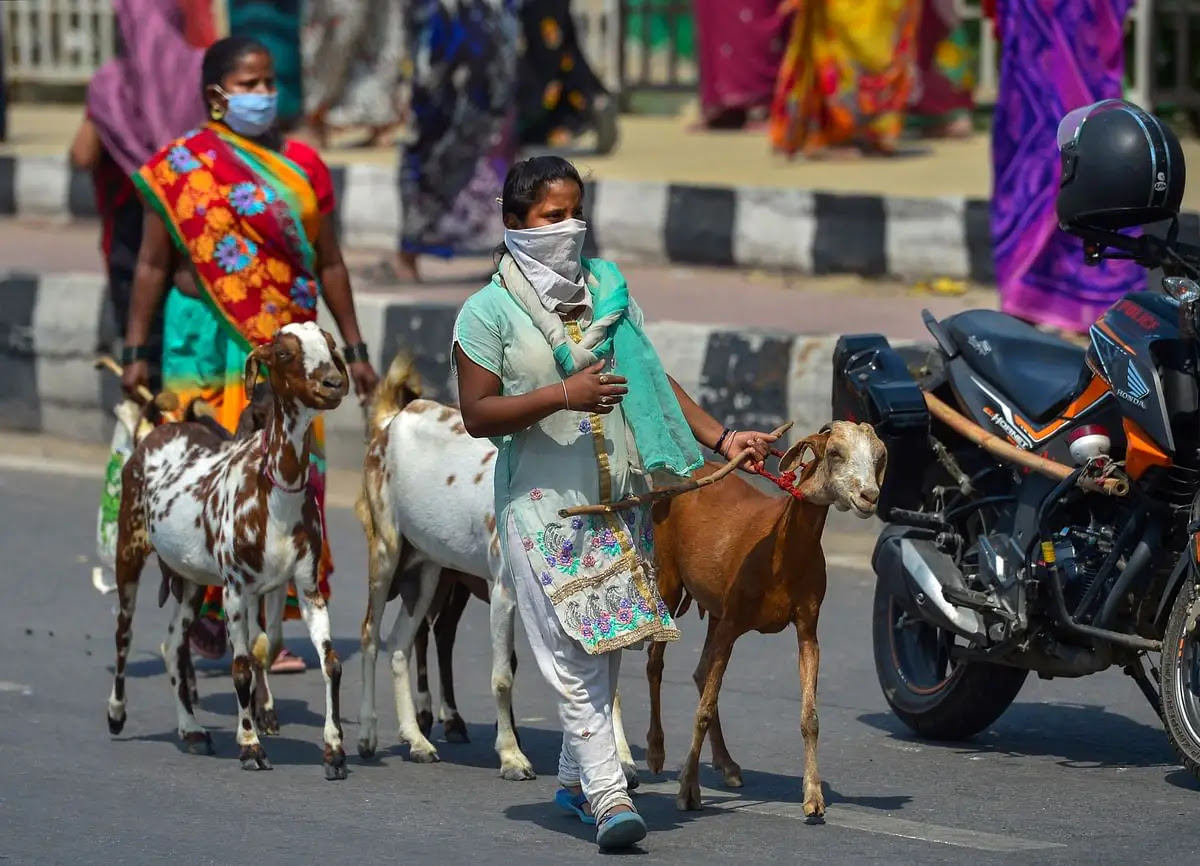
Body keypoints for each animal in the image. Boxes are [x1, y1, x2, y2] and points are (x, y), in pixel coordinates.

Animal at [105, 321, 350, 777]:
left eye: (330, 346)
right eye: (284, 353)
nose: (332, 382)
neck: (275, 488)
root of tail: (159, 429)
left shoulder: (307, 587)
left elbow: (329, 663)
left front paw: (335, 750)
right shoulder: (236, 589)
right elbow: (240, 669)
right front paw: (251, 745)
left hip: (190, 579)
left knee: (172, 646)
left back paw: (191, 730)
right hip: (129, 548)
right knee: (123, 633)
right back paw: (116, 713)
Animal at [648, 417, 883, 815]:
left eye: (879, 456)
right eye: (835, 452)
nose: (870, 496)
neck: (779, 554)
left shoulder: (807, 626)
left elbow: (810, 717)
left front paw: (813, 797)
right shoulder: (732, 622)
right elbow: (704, 708)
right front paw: (687, 789)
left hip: (714, 607)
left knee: (699, 673)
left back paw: (727, 764)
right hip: (668, 577)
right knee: (654, 662)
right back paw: (653, 752)